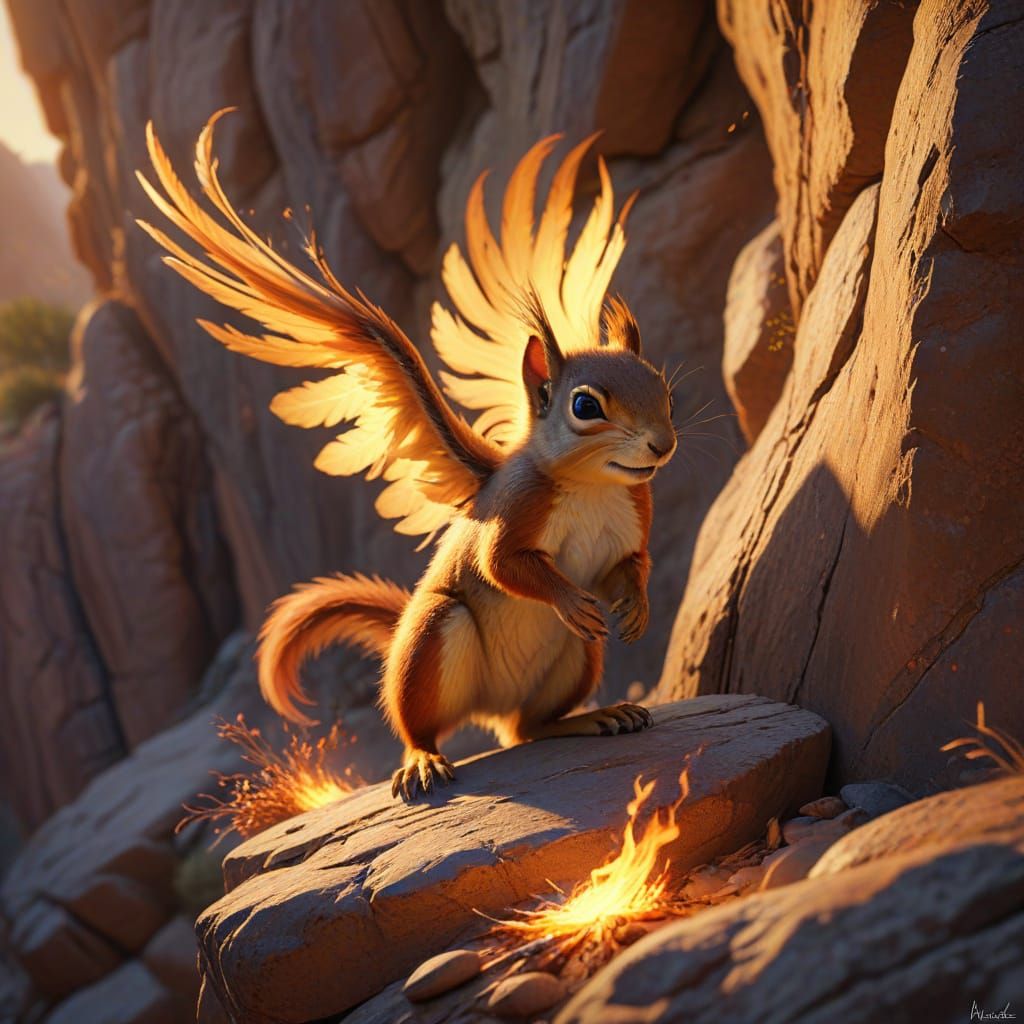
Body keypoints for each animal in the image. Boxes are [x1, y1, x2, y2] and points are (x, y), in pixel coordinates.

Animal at [138, 111, 677, 799]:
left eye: (664, 390)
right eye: (585, 406)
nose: (662, 444)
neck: (593, 486)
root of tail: (489, 707)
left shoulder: (635, 513)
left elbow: (630, 564)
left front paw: (635, 605)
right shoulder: (515, 511)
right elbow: (504, 566)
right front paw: (568, 596)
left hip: (579, 657)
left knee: (528, 728)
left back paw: (594, 716)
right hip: (432, 641)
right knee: (426, 724)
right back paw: (423, 761)